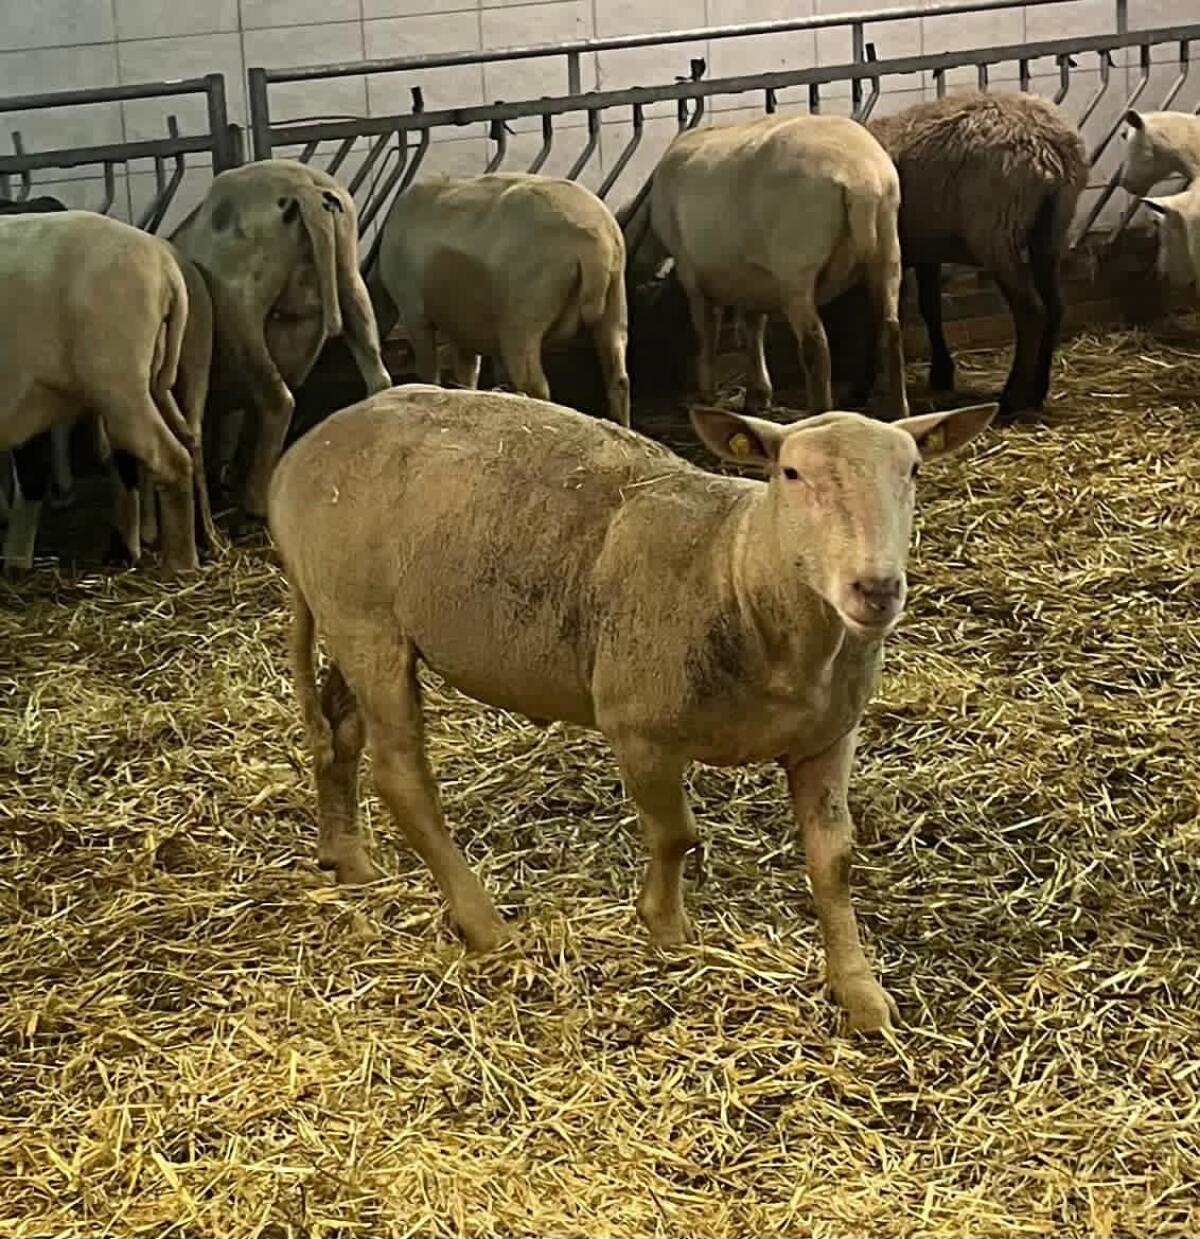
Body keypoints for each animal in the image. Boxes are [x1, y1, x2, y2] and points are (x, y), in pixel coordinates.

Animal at [268, 384, 995, 1031]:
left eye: (913, 469)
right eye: (790, 472)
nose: (876, 589)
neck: (738, 571)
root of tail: (305, 447)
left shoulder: (828, 739)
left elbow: (834, 863)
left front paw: (861, 993)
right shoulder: (640, 728)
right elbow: (676, 834)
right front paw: (667, 928)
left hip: (356, 625)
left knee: (339, 732)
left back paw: (348, 859)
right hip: (367, 621)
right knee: (401, 774)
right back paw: (484, 924)